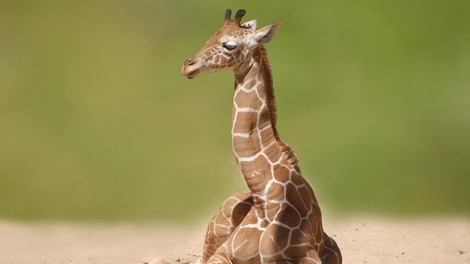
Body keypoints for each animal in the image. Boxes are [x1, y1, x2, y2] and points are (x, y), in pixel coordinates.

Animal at [181, 8, 342, 264]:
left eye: (229, 45)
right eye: (211, 35)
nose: (188, 66)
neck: (264, 199)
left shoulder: (307, 255)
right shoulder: (224, 252)